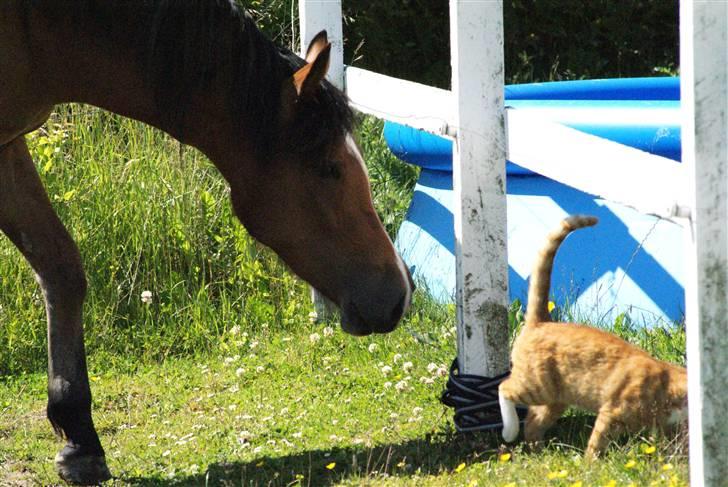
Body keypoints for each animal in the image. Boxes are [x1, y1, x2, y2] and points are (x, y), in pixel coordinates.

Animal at [0, 0, 412, 484]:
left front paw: (80, 438)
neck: (35, 29)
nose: (399, 294)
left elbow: (61, 270)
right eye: (329, 168)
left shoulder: (7, 147)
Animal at [498, 215, 684, 456]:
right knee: (504, 388)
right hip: (535, 385)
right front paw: (591, 462)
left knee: (533, 423)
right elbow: (596, 443)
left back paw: (540, 451)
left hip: (554, 398)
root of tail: (542, 320)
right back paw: (509, 432)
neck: (667, 386)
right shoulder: (611, 413)